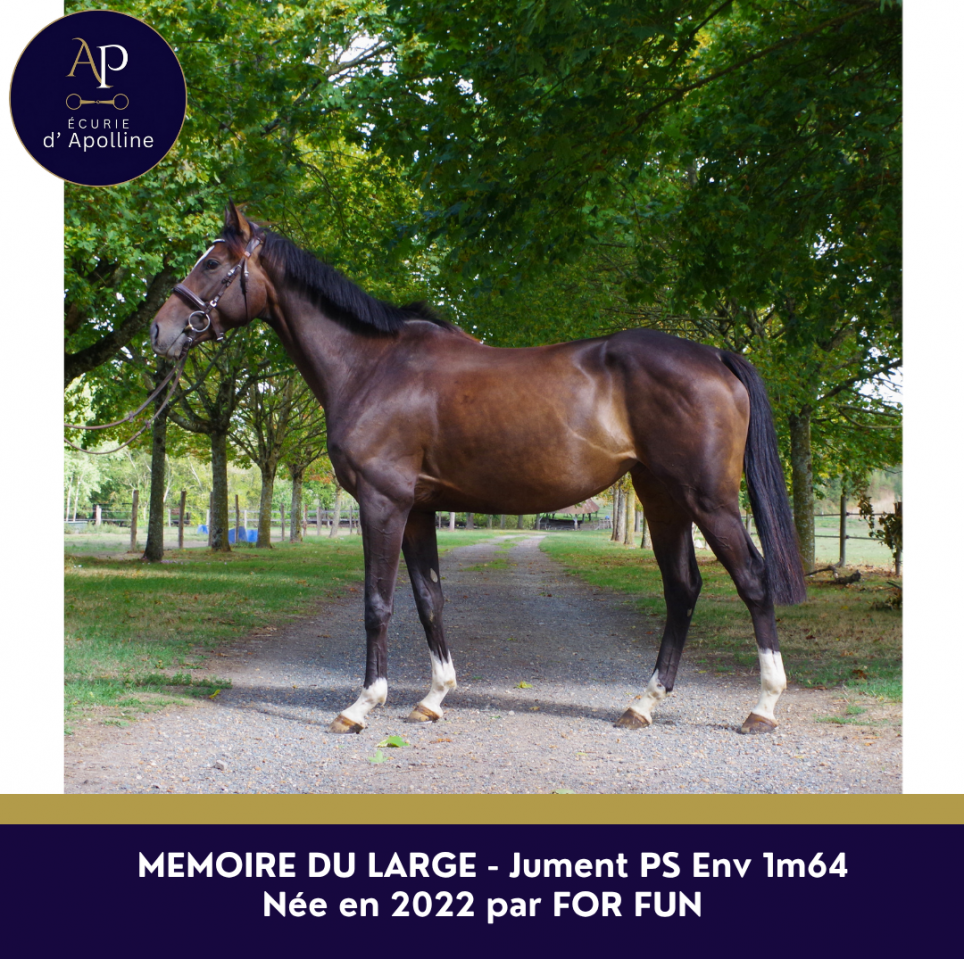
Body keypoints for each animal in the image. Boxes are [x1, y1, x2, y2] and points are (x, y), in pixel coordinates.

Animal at [151, 202, 806, 736]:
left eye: (213, 263)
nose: (160, 331)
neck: (373, 366)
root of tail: (713, 355)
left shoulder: (382, 504)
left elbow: (378, 603)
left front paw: (361, 706)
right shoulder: (417, 510)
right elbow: (428, 599)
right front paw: (433, 698)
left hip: (709, 500)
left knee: (752, 582)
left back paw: (763, 707)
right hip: (662, 496)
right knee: (682, 587)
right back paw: (643, 704)